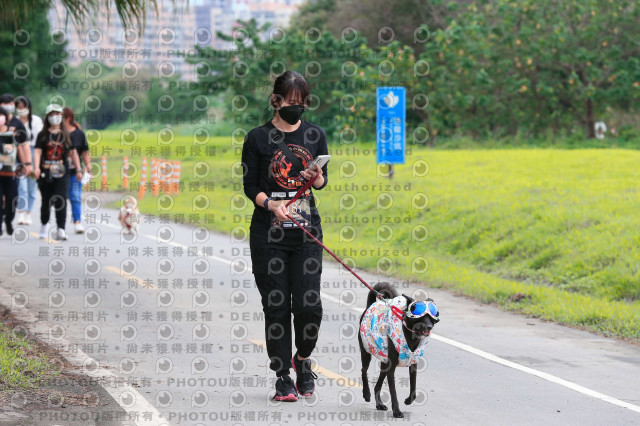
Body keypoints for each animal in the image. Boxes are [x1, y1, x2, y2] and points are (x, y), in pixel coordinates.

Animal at [356, 282, 440, 418]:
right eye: (421, 315)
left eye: (432, 315)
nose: (429, 326)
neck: (411, 335)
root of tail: (370, 305)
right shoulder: (392, 370)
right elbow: (393, 391)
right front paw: (396, 411)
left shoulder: (413, 365)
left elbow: (413, 387)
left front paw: (408, 400)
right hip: (366, 351)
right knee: (364, 371)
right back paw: (366, 394)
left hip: (385, 363)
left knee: (377, 385)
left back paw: (379, 404)